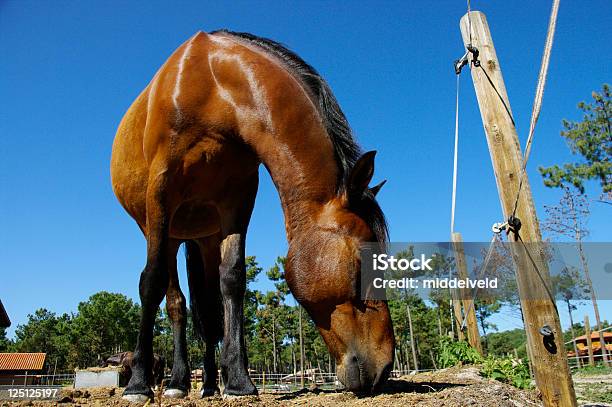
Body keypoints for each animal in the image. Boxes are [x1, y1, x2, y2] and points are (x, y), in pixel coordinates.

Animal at [110, 30, 394, 404]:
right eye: (363, 262)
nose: (386, 367)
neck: (216, 88)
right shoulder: (160, 192)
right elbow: (151, 282)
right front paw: (138, 383)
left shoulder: (238, 200)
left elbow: (233, 280)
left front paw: (239, 382)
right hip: (165, 231)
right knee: (174, 303)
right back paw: (176, 382)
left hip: (204, 236)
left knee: (209, 311)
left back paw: (209, 385)